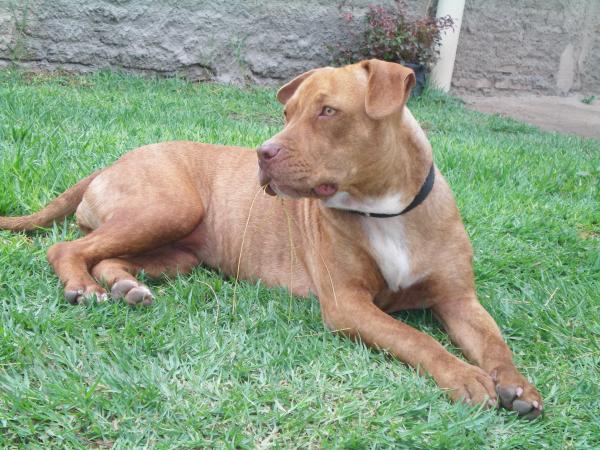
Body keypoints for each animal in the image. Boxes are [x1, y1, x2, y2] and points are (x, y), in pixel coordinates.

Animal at [0, 59, 540, 418]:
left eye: (328, 111)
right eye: (287, 114)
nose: (264, 152)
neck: (385, 209)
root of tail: (111, 162)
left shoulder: (459, 299)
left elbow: (496, 343)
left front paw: (517, 385)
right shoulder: (348, 304)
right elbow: (416, 339)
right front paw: (463, 375)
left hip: (176, 250)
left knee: (110, 259)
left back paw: (125, 288)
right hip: (166, 207)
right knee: (67, 247)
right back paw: (81, 287)